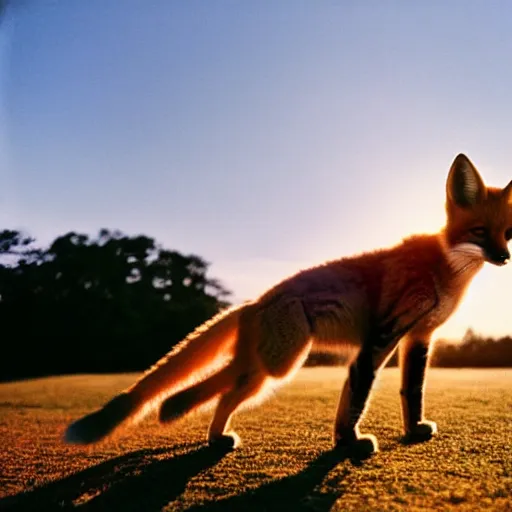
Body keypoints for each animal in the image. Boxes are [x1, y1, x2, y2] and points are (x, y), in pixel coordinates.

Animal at [64, 153, 512, 456]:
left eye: (508, 233)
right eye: (479, 232)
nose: (505, 258)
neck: (446, 270)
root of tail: (252, 302)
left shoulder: (419, 337)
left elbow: (411, 391)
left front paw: (413, 429)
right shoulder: (384, 334)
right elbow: (357, 396)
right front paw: (348, 444)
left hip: (267, 369)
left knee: (225, 392)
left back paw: (212, 436)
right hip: (283, 362)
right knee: (213, 385)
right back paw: (173, 408)